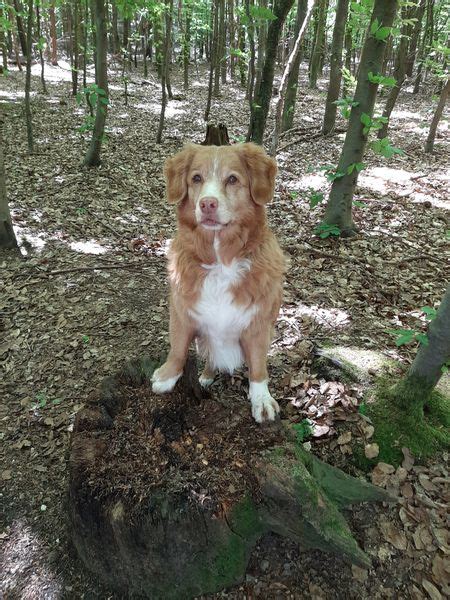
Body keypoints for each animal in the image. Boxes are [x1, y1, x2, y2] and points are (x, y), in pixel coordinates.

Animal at [151, 142, 284, 422]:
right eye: (196, 178)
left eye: (232, 179)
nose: (207, 204)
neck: (220, 261)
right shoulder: (181, 312)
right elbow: (178, 348)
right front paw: (167, 376)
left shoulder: (258, 324)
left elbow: (258, 366)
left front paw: (261, 400)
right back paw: (205, 377)